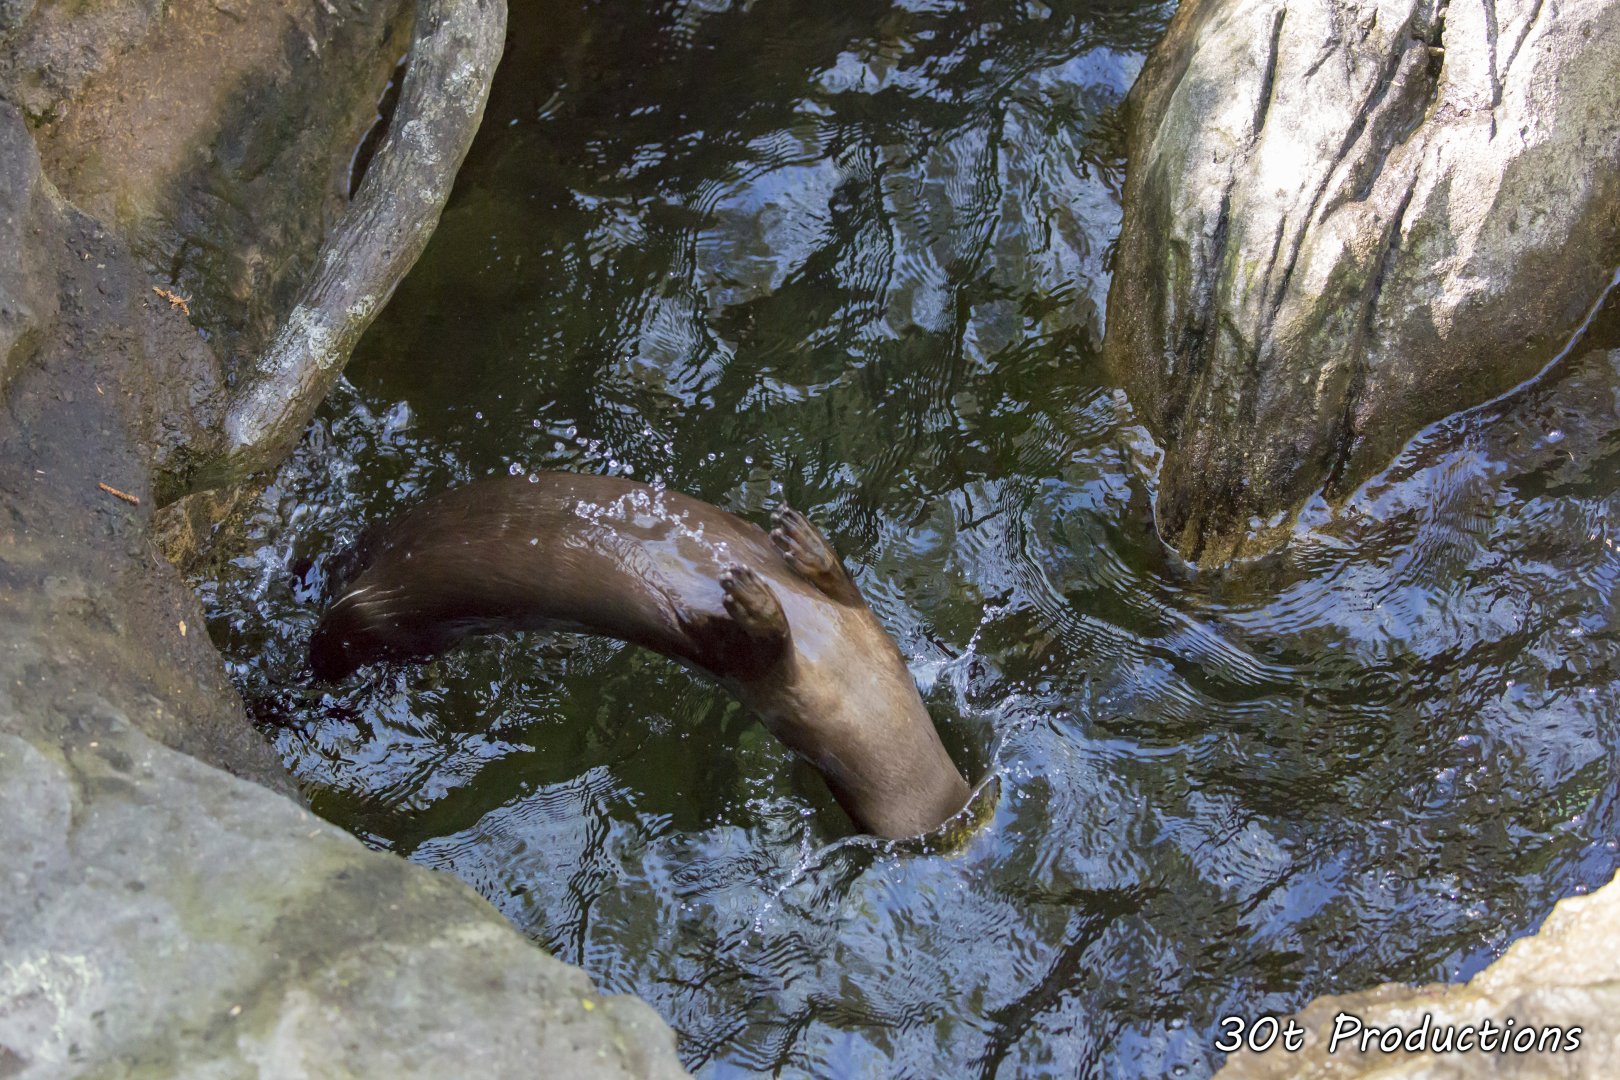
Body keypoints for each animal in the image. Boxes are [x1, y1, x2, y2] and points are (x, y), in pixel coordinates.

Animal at [309, 472, 971, 839]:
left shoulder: (822, 679)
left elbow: (788, 635)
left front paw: (762, 594)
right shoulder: (832, 668)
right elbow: (820, 606)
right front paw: (796, 555)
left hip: (389, 599)